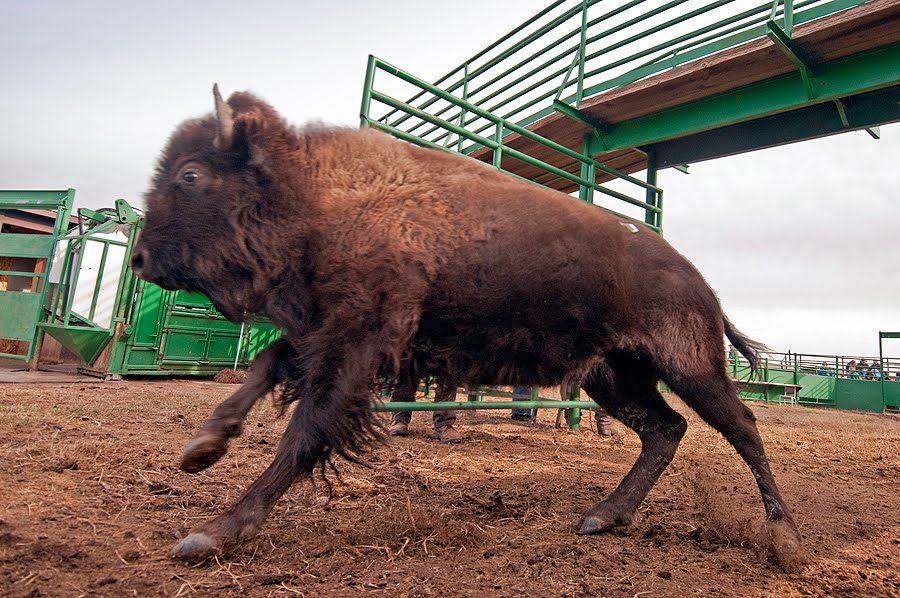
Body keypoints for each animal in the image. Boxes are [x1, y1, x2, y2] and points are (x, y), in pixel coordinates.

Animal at [131, 85, 803, 569]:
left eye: (190, 175)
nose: (139, 259)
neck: (316, 192)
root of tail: (698, 281)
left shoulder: (355, 346)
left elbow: (306, 430)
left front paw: (215, 533)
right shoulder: (327, 336)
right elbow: (268, 363)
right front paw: (203, 447)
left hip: (689, 368)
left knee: (741, 428)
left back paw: (785, 540)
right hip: (614, 375)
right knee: (665, 430)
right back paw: (603, 516)